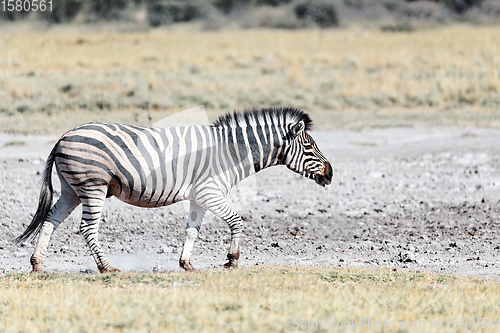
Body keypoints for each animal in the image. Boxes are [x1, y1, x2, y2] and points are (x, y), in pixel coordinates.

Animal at [15, 107, 334, 272]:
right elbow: (236, 221)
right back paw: (106, 267)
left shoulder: (198, 197)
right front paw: (232, 260)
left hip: (71, 189)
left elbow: (192, 230)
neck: (230, 152)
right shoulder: (209, 191)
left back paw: (37, 264)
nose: (330, 173)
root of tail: (63, 136)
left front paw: (186, 263)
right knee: (87, 228)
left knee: (50, 221)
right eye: (308, 146)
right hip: (93, 186)